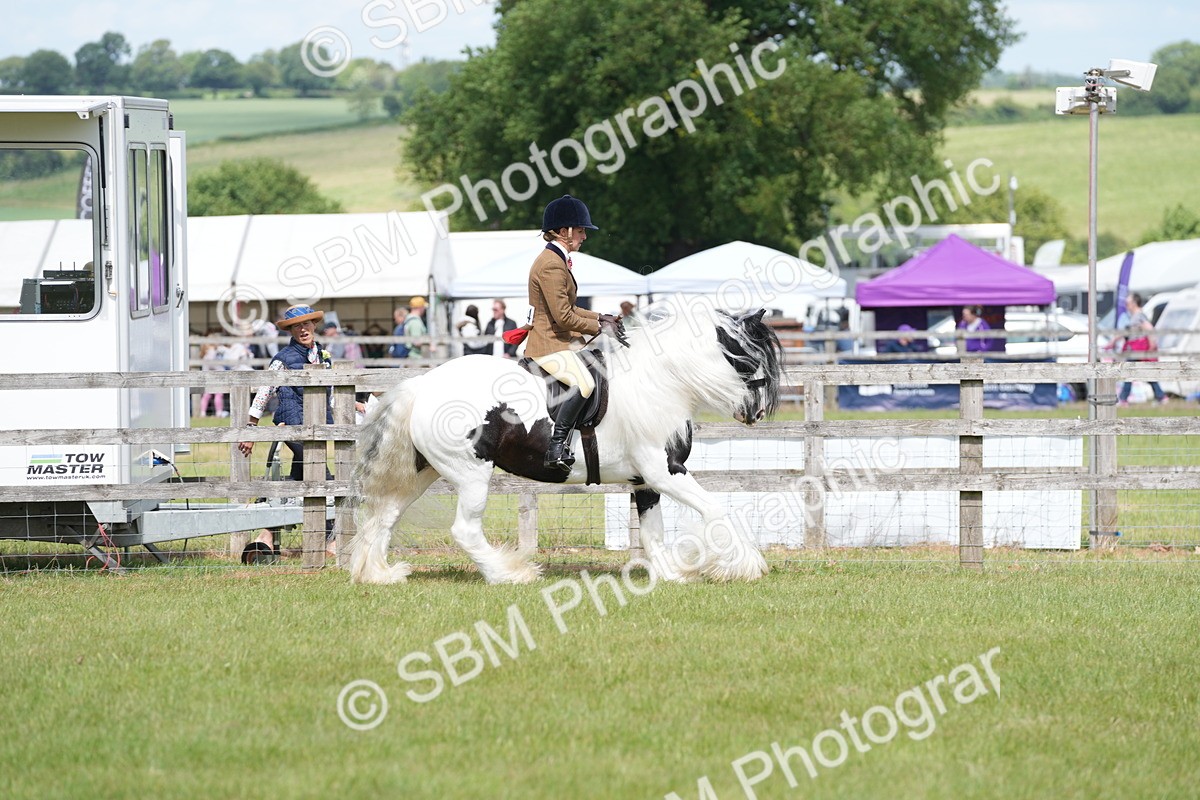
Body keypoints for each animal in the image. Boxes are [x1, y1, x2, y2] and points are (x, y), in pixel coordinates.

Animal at [345, 300, 783, 585]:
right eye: (748, 357)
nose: (758, 411)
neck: (660, 380)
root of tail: (424, 385)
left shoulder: (647, 481)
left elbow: (653, 533)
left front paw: (672, 576)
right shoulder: (666, 472)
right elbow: (716, 510)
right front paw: (743, 565)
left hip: (424, 472)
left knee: (385, 515)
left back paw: (379, 575)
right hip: (470, 474)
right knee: (464, 530)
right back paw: (511, 574)